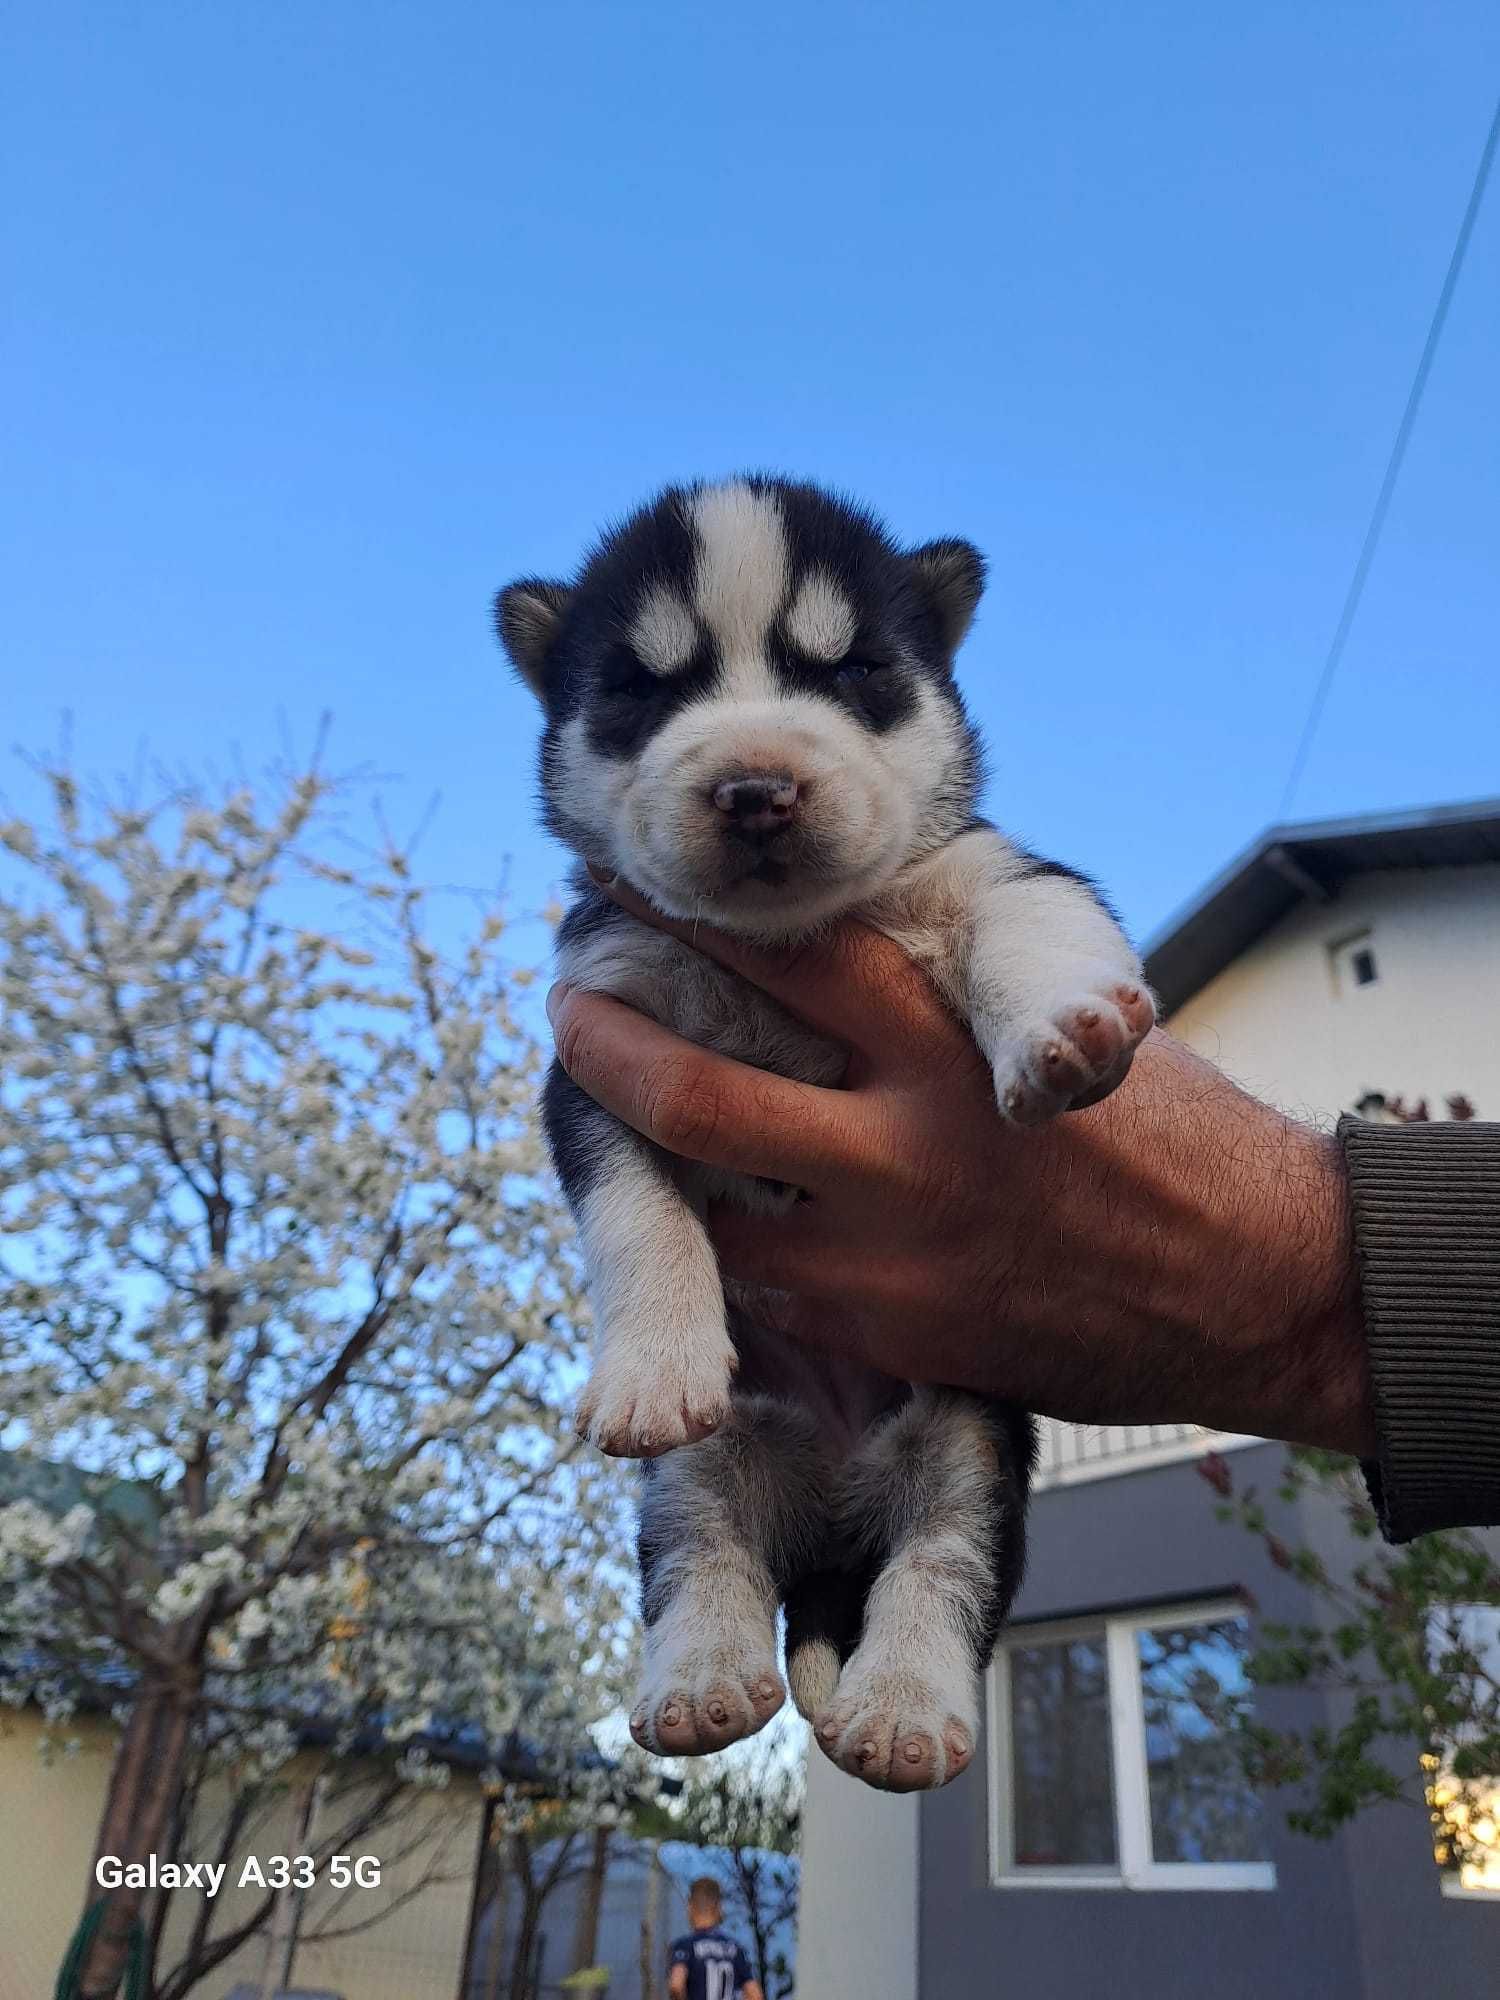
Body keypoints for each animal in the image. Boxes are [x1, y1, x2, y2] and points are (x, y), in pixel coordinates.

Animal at [500, 476, 1160, 1792]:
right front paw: (649, 1362)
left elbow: (1031, 914)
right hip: (713, 1459)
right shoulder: (596, 1043)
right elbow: (636, 1212)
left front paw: (1066, 1027)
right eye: (641, 689)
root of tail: (833, 1511)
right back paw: (704, 1678)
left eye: (854, 668)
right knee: (699, 1550)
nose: (756, 788)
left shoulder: (998, 868)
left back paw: (902, 1701)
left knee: (944, 1562)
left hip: (972, 1435)